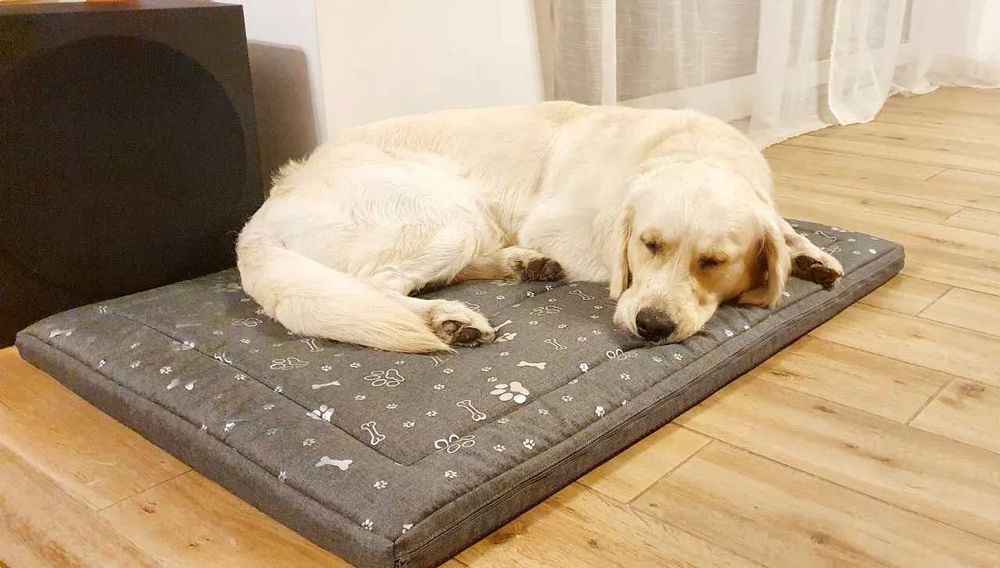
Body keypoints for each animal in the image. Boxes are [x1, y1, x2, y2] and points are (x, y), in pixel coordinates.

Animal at [237, 102, 843, 353]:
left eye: (713, 262)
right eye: (647, 245)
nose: (651, 326)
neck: (687, 150)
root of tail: (266, 207)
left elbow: (783, 229)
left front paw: (809, 255)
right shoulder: (566, 228)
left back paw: (524, 265)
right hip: (445, 213)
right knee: (375, 286)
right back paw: (448, 320)